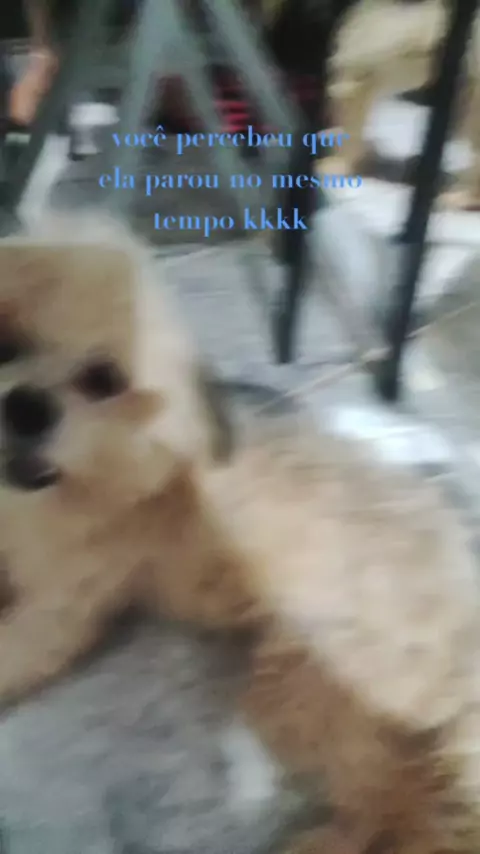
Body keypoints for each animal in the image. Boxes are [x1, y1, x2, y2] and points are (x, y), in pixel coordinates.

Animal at [0, 216, 479, 853]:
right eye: (6, 342)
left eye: (103, 379)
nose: (25, 406)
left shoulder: (57, 611)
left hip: (316, 687)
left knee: (389, 796)